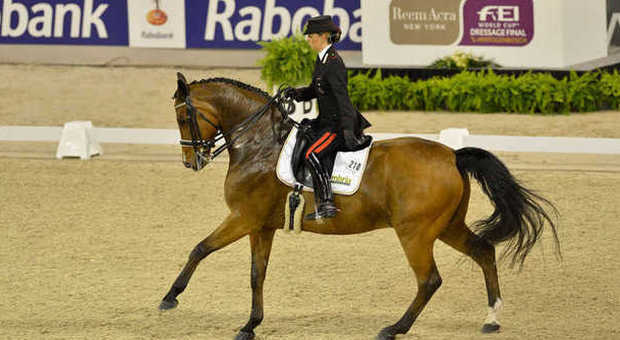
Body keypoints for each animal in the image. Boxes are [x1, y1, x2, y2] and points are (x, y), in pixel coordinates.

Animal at [157, 72, 560, 340]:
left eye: (182, 117)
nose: (191, 161)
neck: (259, 145)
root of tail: (452, 155)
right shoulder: (261, 225)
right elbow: (258, 274)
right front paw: (250, 326)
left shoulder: (243, 218)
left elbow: (200, 249)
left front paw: (170, 298)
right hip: (447, 226)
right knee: (483, 251)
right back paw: (491, 318)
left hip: (415, 233)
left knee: (429, 279)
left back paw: (394, 328)